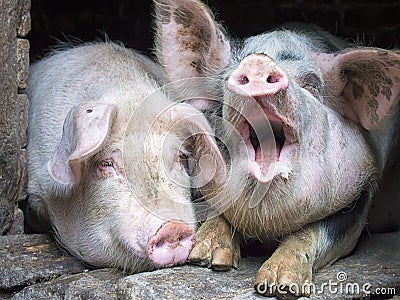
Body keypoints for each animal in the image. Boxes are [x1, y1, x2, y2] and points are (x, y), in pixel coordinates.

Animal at [153, 0, 400, 296]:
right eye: (225, 81)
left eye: (311, 83)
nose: (258, 61)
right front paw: (206, 258)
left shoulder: (361, 194)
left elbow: (314, 231)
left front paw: (279, 286)